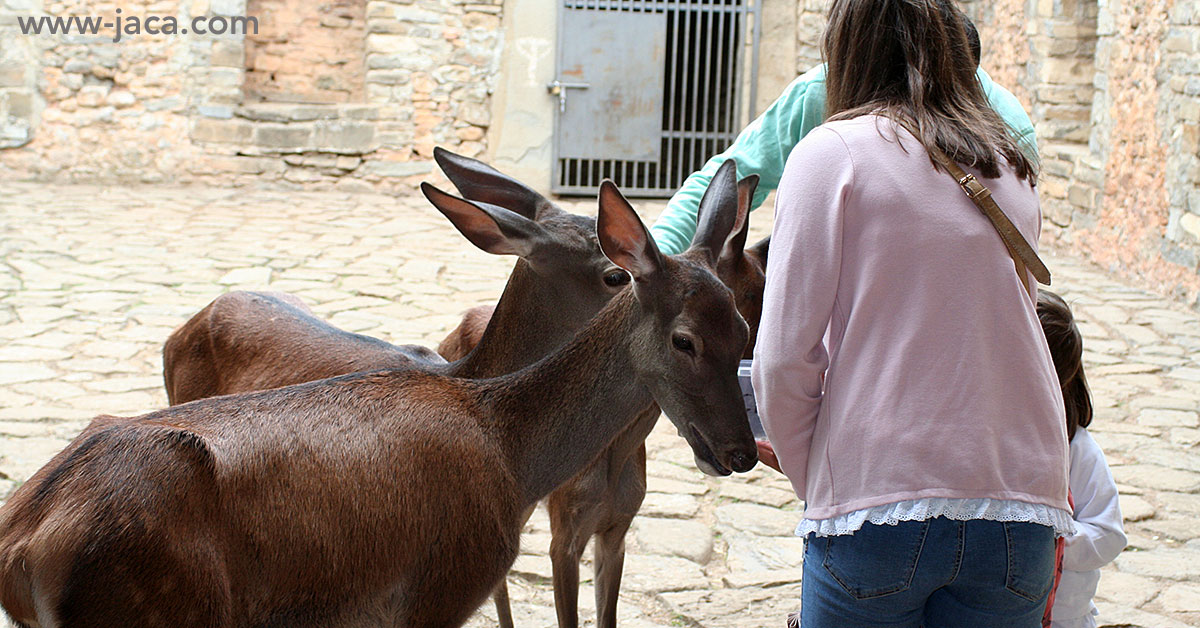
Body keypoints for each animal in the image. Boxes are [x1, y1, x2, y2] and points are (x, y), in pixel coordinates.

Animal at [0, 172, 748, 628]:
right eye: (684, 340)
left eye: (744, 329)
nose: (740, 451)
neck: (509, 452)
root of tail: (23, 544)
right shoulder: (443, 584)